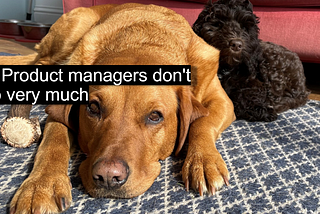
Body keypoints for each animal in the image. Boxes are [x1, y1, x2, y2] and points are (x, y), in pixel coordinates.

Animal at [0, 3, 235, 214]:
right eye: (93, 108)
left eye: (155, 116)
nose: (108, 176)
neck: (144, 40)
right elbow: (53, 140)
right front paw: (40, 185)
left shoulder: (223, 100)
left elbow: (203, 122)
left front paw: (203, 161)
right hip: (74, 27)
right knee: (40, 62)